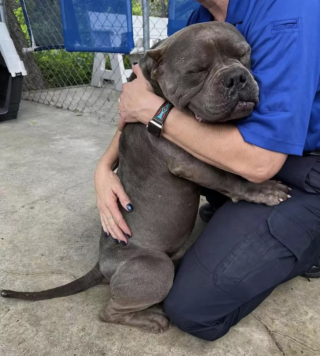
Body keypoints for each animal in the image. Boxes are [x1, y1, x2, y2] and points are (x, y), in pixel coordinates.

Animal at [1, 22, 290, 334]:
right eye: (196, 70)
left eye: (244, 54)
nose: (236, 77)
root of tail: (101, 264)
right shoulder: (189, 162)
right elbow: (227, 178)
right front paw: (263, 191)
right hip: (155, 267)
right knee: (110, 312)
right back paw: (152, 318)